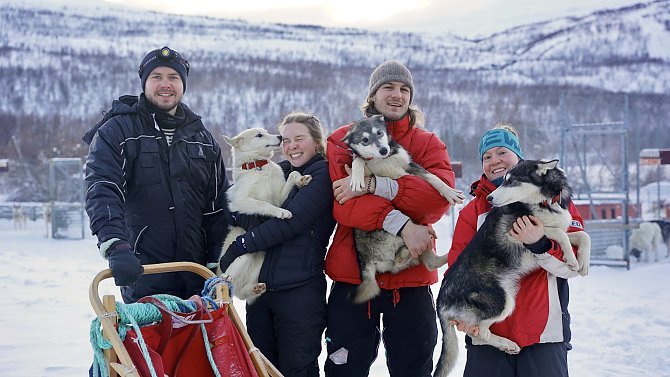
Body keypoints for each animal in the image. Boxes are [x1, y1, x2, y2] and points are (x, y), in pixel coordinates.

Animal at [222, 129, 314, 302]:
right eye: (259, 135)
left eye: (265, 132)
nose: (280, 137)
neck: (258, 167)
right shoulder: (239, 201)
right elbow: (263, 204)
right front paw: (282, 213)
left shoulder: (279, 199)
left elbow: (293, 173)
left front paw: (301, 179)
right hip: (242, 254)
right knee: (226, 277)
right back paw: (226, 278)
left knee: (243, 293)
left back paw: (256, 288)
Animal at [434, 159, 592, 376]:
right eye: (504, 180)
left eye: (511, 181)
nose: (490, 198)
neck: (544, 202)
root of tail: (441, 299)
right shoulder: (520, 232)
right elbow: (560, 235)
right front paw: (571, 260)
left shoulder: (560, 228)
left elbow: (582, 235)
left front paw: (583, 264)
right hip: (503, 302)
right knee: (481, 332)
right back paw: (506, 343)